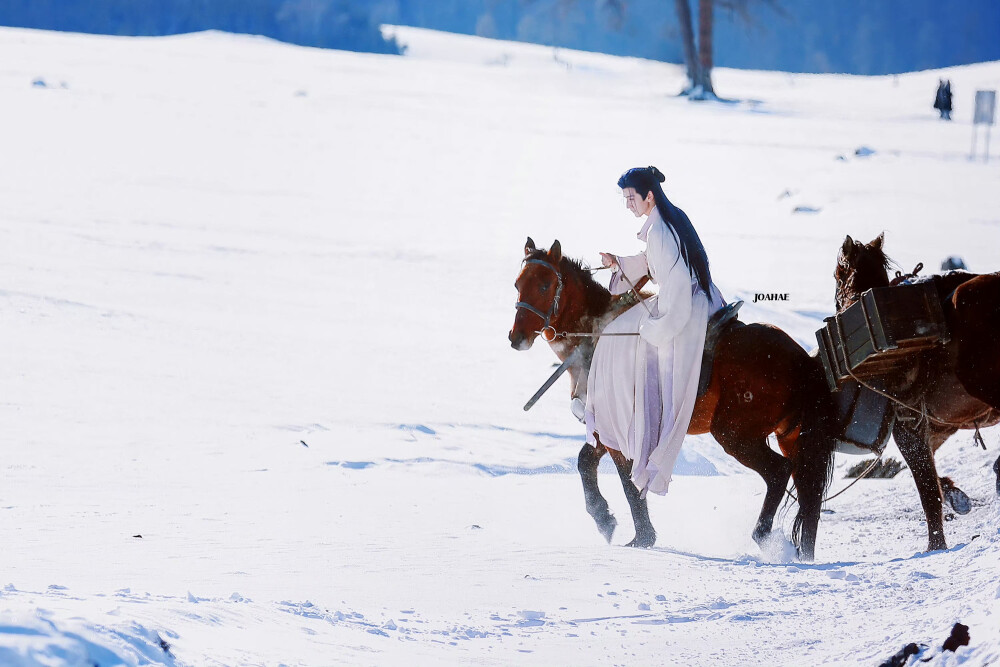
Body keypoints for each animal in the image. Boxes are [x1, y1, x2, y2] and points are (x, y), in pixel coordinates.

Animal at [508, 237, 836, 560]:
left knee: (779, 472)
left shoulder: (619, 428)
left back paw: (764, 537)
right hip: (791, 435)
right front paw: (603, 517)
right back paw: (805, 555)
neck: (597, 335)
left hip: (734, 434)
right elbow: (584, 462)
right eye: (517, 284)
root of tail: (800, 358)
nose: (516, 338)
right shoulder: (605, 429)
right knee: (808, 489)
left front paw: (642, 537)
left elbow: (626, 482)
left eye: (545, 286)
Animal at [836, 235, 1000, 552]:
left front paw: (936, 545)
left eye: (838, 276)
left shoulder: (908, 429)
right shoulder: (935, 426)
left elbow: (927, 491)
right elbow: (934, 480)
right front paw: (956, 496)